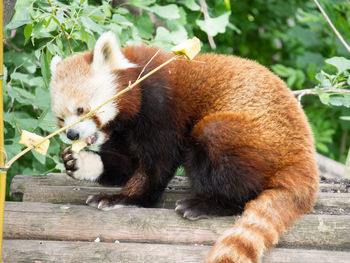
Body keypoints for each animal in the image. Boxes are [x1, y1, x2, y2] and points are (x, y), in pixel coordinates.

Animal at [50, 33, 320, 263]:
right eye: (61, 119)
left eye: (82, 110)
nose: (72, 134)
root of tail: (304, 155)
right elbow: (126, 165)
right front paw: (80, 163)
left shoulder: (162, 109)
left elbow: (156, 165)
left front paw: (126, 198)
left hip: (250, 138)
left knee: (218, 146)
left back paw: (208, 204)